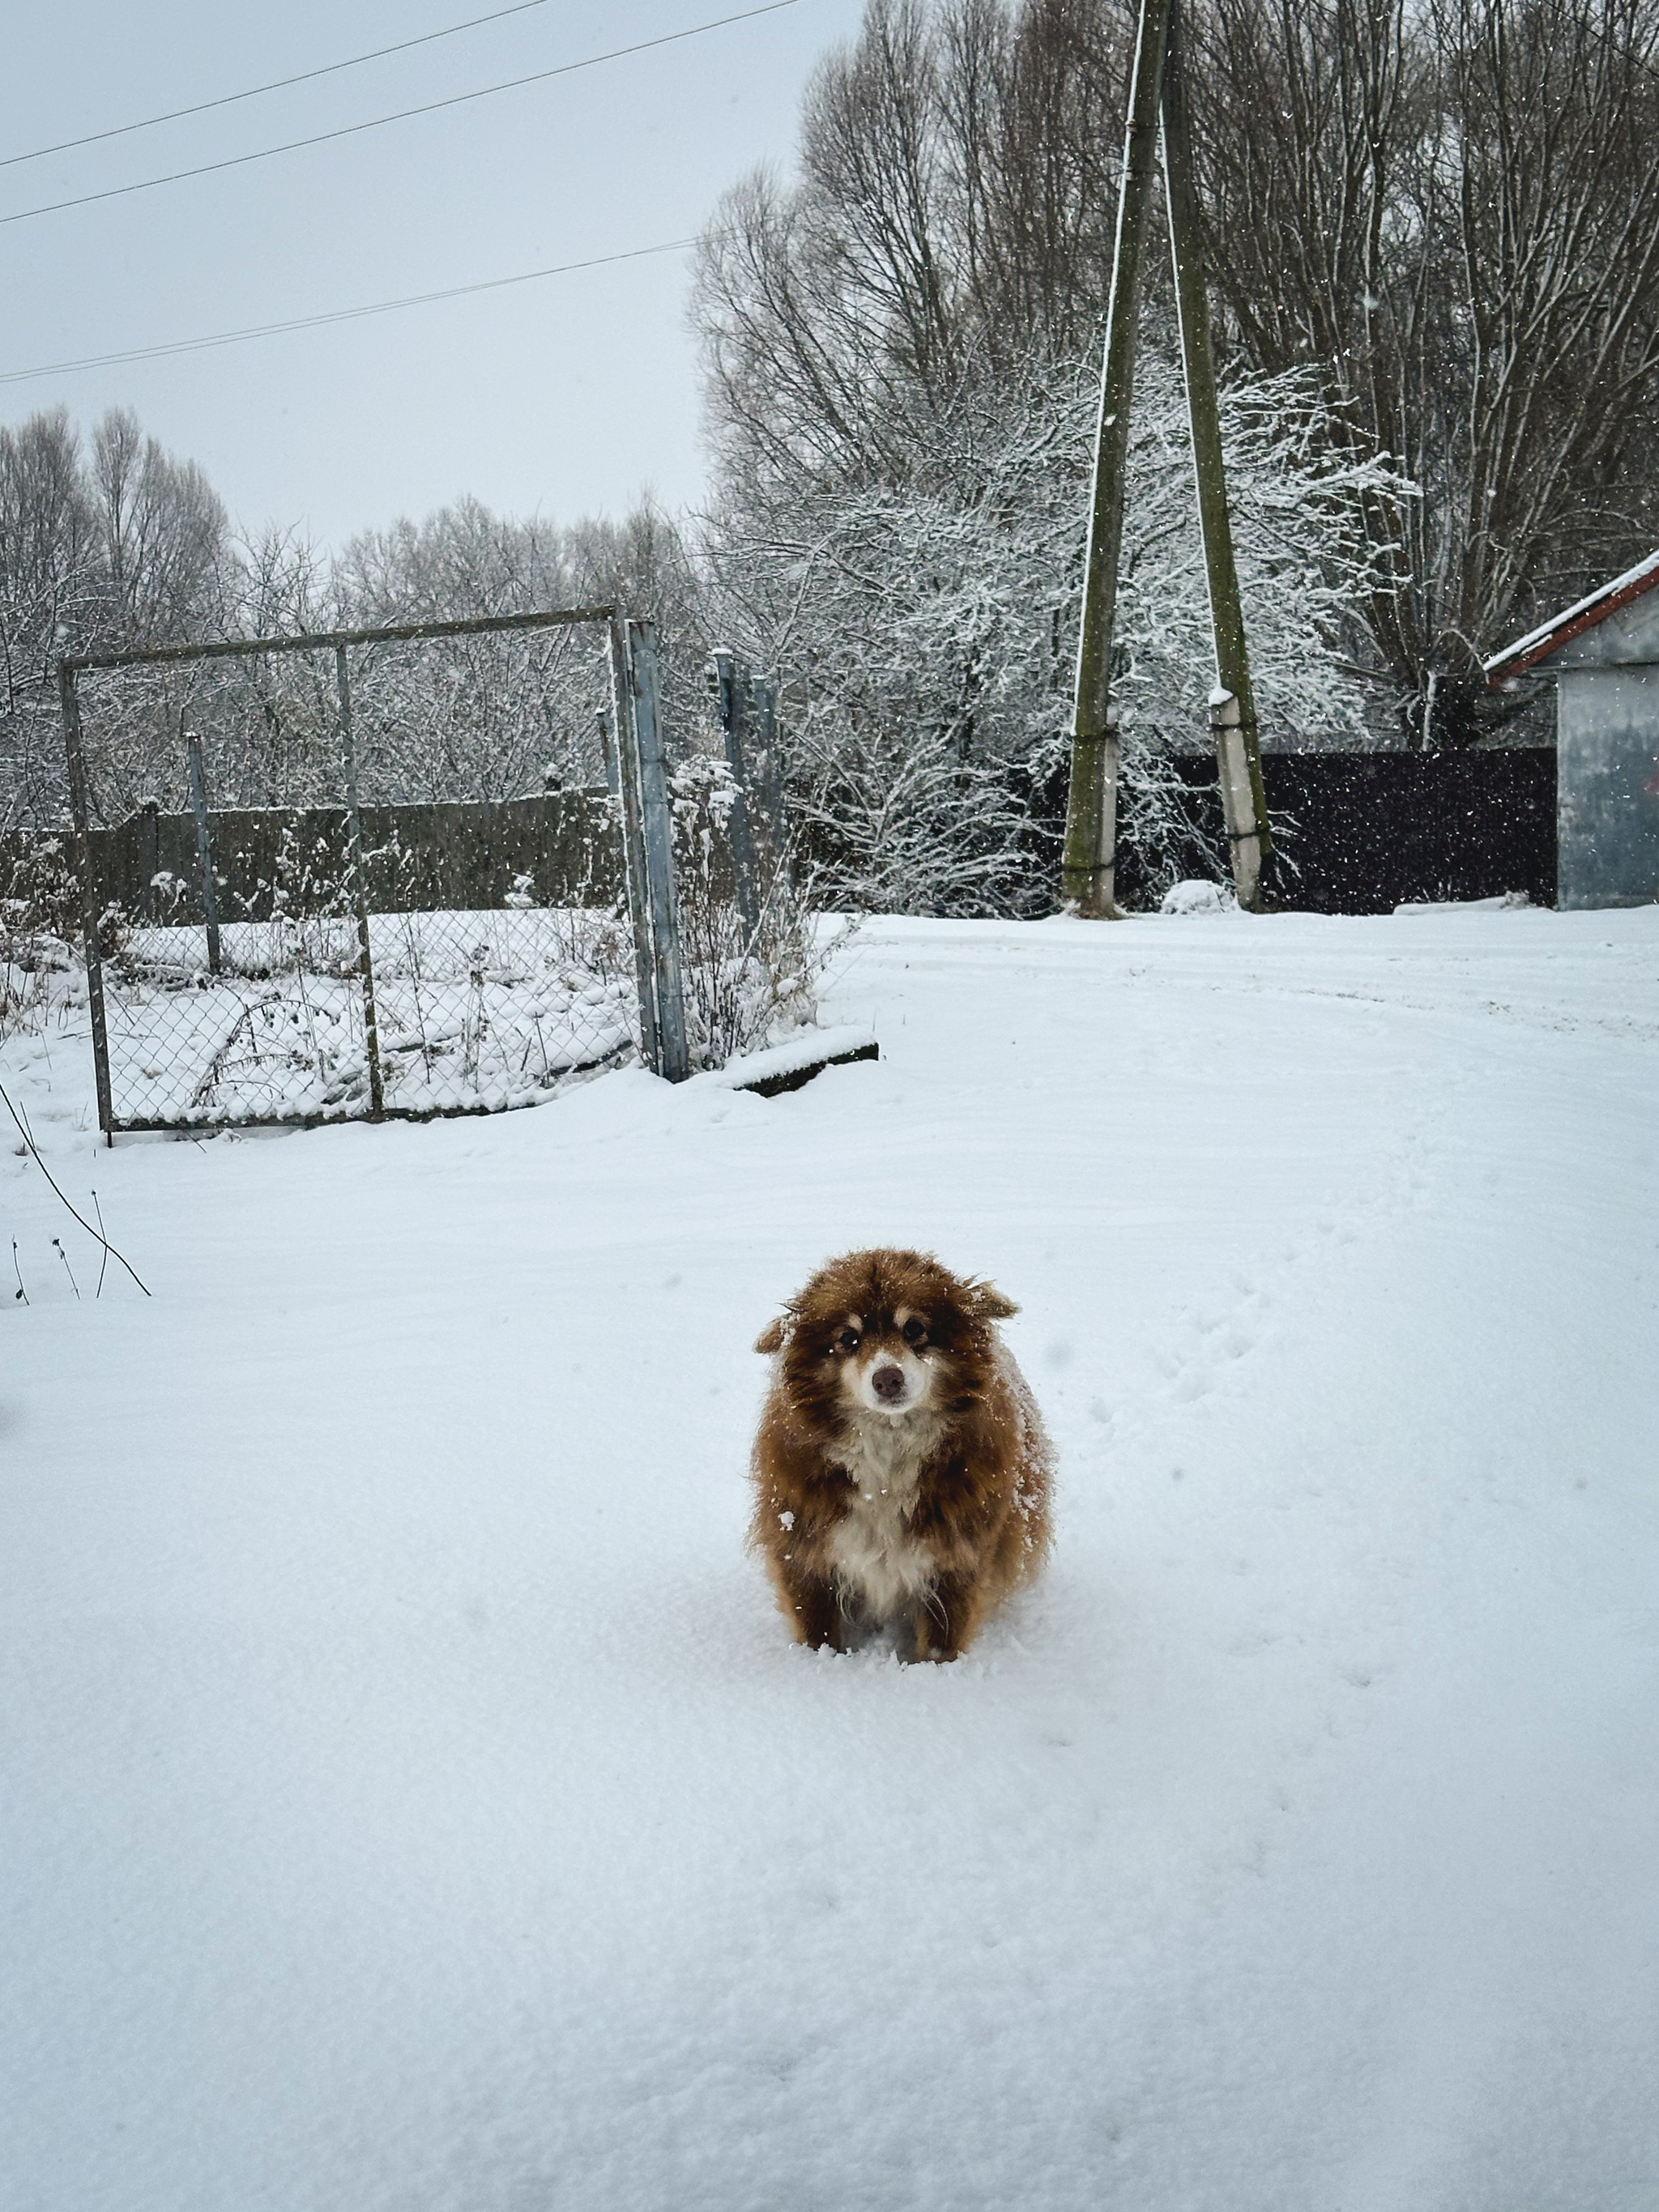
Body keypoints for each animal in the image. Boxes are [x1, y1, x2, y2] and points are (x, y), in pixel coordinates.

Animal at [749, 1248, 1053, 1661]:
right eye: (848, 1338)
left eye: (914, 1329)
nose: (887, 1379)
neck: (888, 1455)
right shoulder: (803, 1547)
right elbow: (817, 1629)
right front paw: (821, 1665)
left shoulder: (957, 1558)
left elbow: (942, 1641)